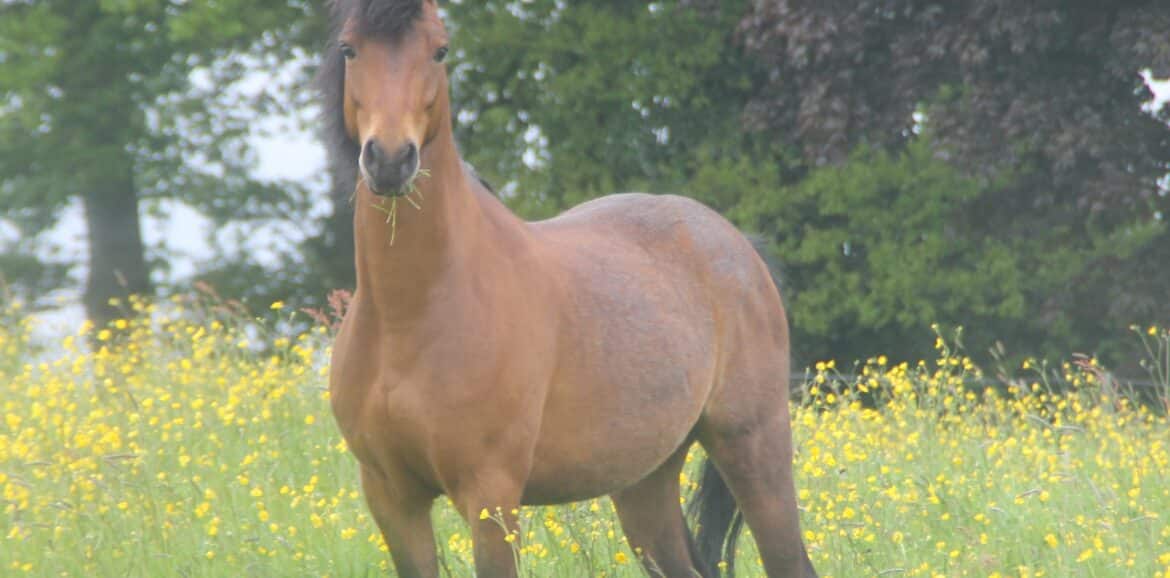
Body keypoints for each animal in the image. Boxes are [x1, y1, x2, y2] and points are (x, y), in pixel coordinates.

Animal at [319, 1, 818, 576]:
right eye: (349, 48)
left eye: (440, 50)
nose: (390, 159)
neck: (411, 313)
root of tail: (739, 246)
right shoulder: (392, 500)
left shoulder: (491, 498)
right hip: (644, 486)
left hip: (754, 450)